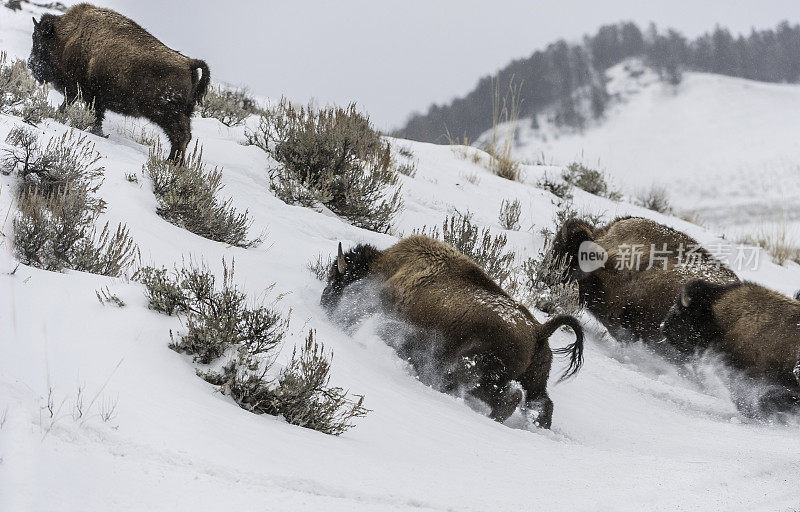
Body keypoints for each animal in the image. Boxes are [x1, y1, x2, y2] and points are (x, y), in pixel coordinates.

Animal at [28, 3, 209, 160]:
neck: (68, 37)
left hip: (165, 114)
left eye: (38, 39)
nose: (30, 64)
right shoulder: (90, 96)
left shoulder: (84, 92)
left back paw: (171, 162)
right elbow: (85, 110)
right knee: (184, 136)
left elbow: (89, 112)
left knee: (180, 136)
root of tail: (189, 63)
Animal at [322, 236, 584, 428]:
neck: (389, 272)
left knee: (508, 398)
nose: (324, 301)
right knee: (541, 404)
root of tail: (539, 329)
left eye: (338, 279)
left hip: (480, 373)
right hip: (536, 381)